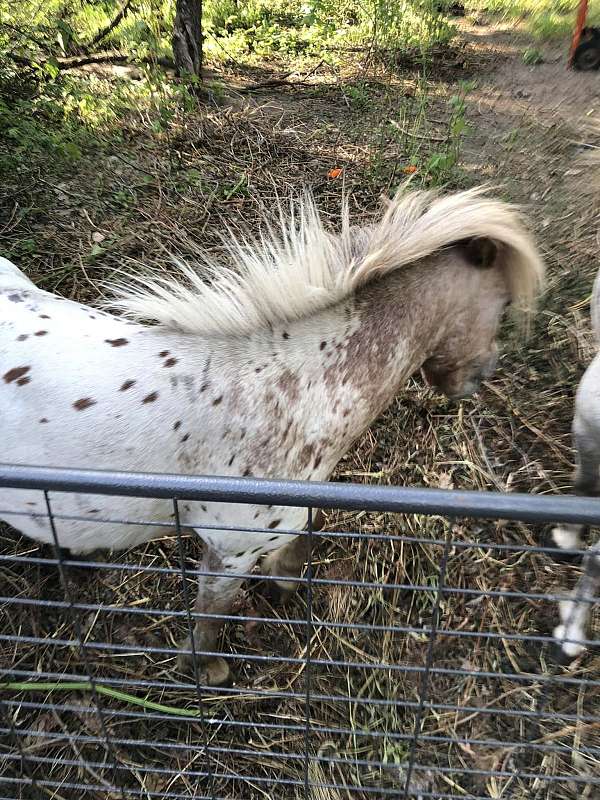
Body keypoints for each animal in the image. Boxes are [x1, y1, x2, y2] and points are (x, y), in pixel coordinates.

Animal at [0, 186, 544, 680]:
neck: (296, 389)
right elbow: (211, 614)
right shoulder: (229, 553)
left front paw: (282, 585)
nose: (480, 377)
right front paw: (207, 670)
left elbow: (308, 531)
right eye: (502, 306)